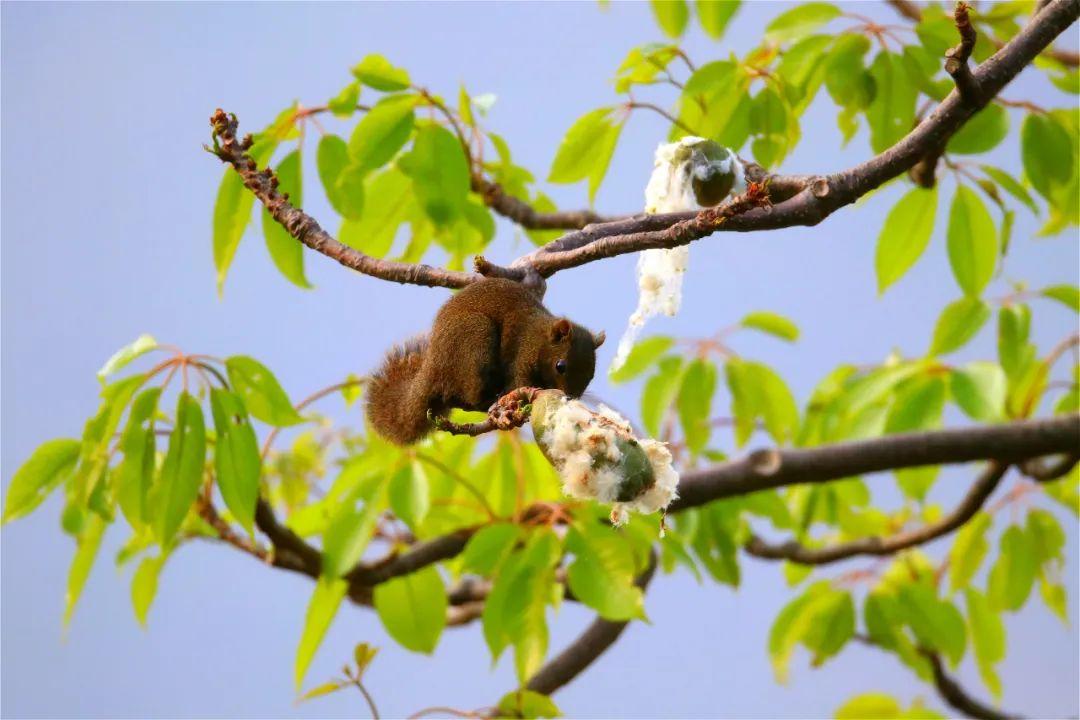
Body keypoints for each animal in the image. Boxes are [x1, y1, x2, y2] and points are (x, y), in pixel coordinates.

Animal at [369, 278, 609, 442]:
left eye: (592, 375)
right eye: (560, 366)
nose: (570, 398)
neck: (539, 338)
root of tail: (433, 367)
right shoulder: (521, 355)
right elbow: (519, 382)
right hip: (475, 338)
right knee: (471, 399)